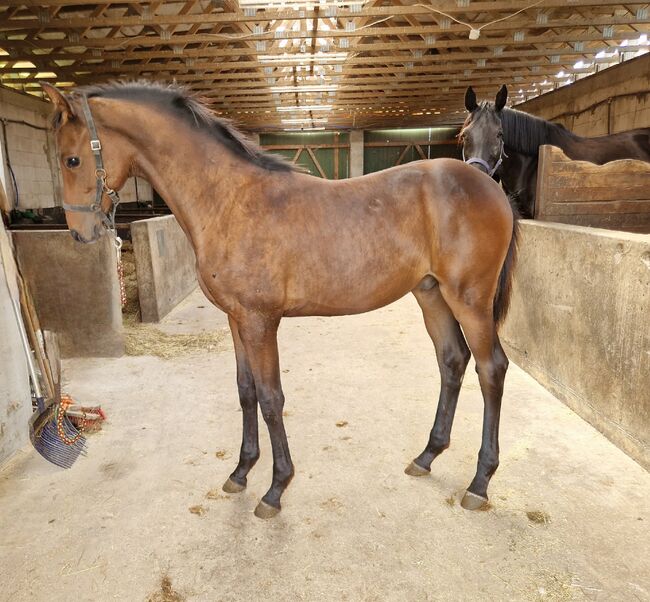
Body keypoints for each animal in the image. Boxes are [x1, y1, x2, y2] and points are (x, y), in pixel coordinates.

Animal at [40, 81, 516, 516]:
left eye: (72, 159)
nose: (80, 234)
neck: (229, 200)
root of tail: (486, 184)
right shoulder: (237, 319)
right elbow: (246, 391)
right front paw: (240, 472)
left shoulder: (260, 320)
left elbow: (271, 399)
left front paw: (275, 487)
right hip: (431, 294)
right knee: (452, 361)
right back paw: (427, 455)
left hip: (470, 299)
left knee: (491, 368)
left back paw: (479, 482)